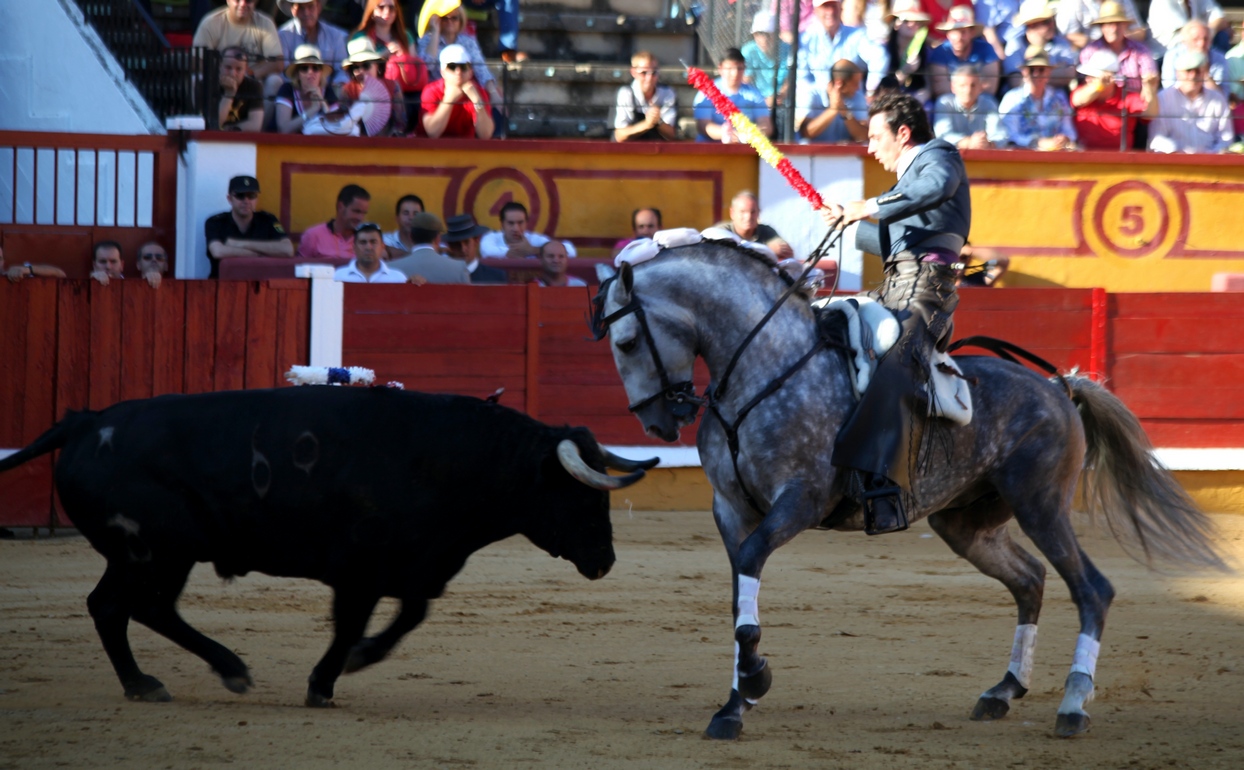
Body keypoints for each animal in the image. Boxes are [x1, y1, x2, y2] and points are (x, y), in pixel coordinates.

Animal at [0, 388, 656, 706]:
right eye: (583, 498)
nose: (604, 562)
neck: (450, 458)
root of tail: (85, 422)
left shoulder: (415, 567)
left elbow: (409, 615)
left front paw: (358, 660)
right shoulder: (359, 570)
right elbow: (352, 624)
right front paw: (325, 682)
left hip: (150, 554)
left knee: (124, 607)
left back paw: (169, 680)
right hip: (156, 549)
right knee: (133, 606)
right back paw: (200, 675)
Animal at [589, 241, 1224, 741]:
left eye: (626, 342)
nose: (657, 423)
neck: (764, 366)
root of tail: (1057, 385)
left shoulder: (798, 501)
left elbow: (748, 575)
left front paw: (753, 681)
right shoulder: (730, 509)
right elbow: (739, 593)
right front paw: (735, 703)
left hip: (1041, 506)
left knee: (1092, 589)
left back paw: (1073, 704)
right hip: (966, 522)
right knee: (1030, 579)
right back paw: (1003, 690)